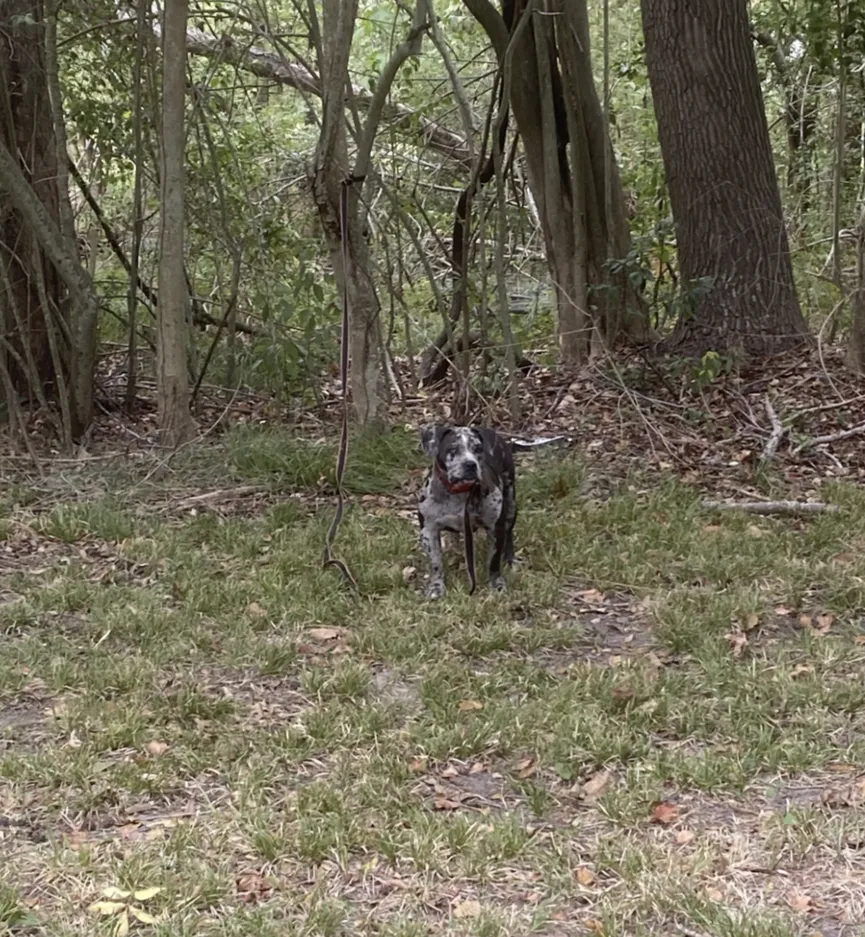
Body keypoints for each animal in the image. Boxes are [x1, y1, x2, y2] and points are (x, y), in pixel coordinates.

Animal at [416, 424, 516, 600]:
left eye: (478, 448)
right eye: (452, 449)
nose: (470, 464)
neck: (459, 493)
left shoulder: (495, 528)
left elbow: (494, 560)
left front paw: (496, 583)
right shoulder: (428, 530)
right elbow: (435, 563)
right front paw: (436, 586)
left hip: (511, 503)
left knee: (509, 533)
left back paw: (510, 559)